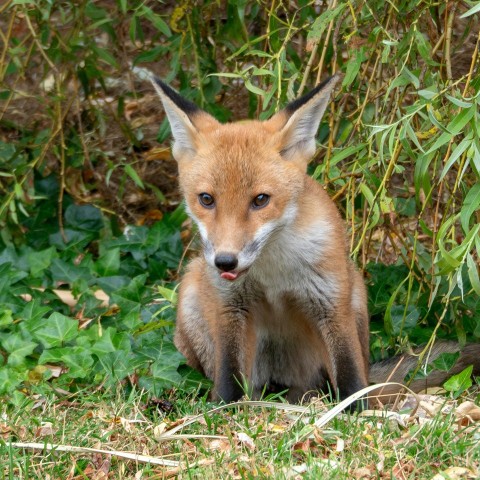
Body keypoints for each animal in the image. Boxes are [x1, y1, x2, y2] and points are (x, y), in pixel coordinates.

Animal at [151, 77, 480, 406]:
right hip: (192, 288)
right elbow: (228, 377)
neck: (273, 272)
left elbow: (349, 375)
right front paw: (222, 409)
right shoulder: (229, 307)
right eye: (206, 199)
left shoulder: (331, 301)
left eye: (261, 200)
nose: (225, 261)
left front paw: (355, 411)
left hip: (353, 293)